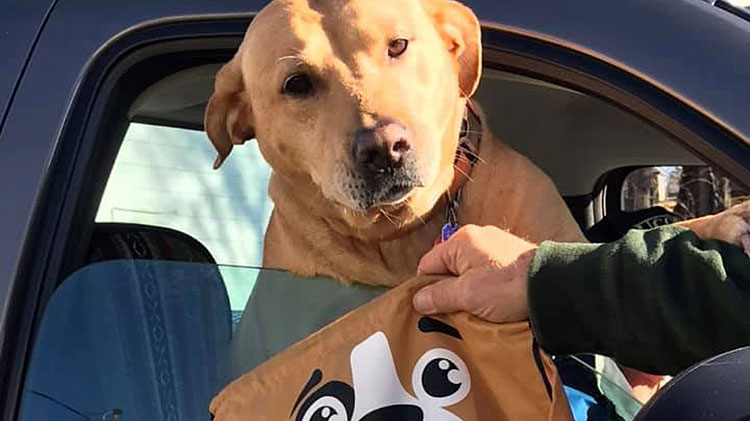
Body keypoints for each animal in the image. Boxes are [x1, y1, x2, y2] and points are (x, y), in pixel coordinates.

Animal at [206, 0, 750, 286]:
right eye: (296, 84)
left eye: (398, 45)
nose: (385, 148)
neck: (403, 232)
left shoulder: (568, 239)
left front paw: (723, 223)